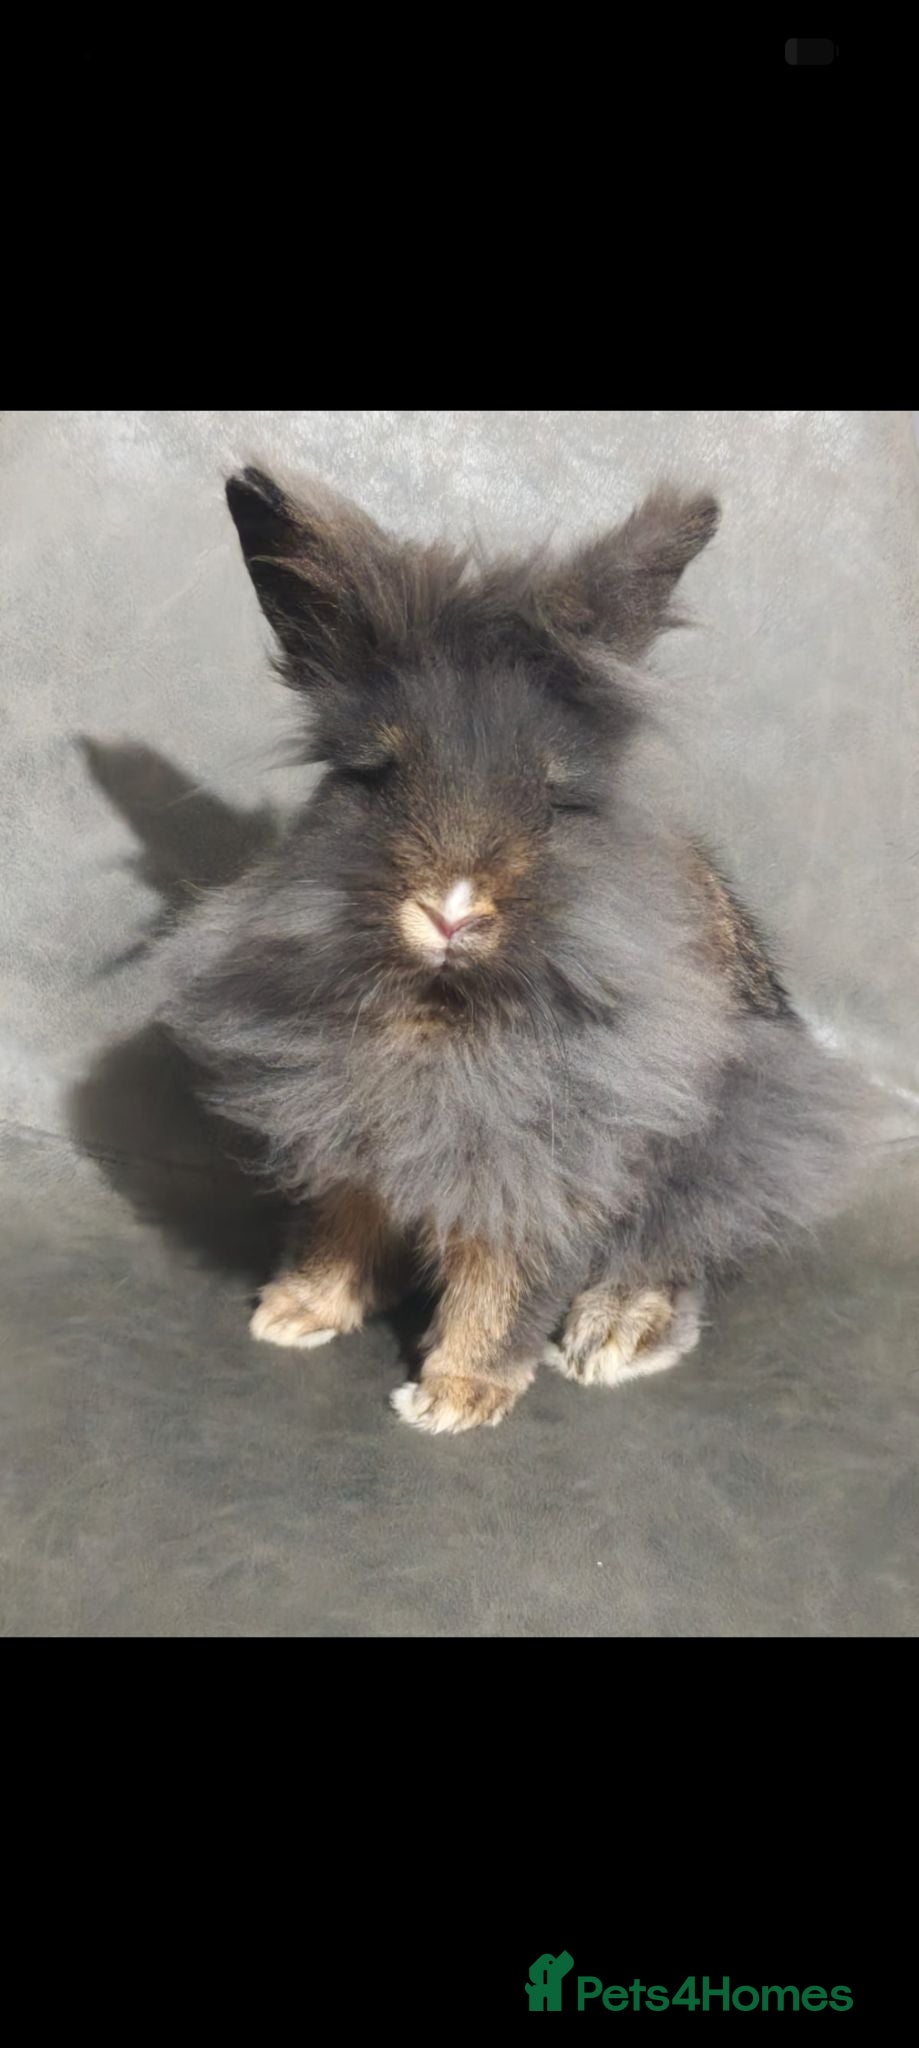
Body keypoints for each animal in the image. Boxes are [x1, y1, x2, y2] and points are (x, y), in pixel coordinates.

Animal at [161, 466, 867, 1434]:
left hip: (744, 1131)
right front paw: (295, 1313)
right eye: (369, 775)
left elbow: (504, 1278)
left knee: (683, 1243)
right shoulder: (349, 1137)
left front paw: (455, 1397)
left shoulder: (545, 1160)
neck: (438, 1013)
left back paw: (615, 1334)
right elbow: (341, 1225)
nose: (450, 912)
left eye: (556, 797)